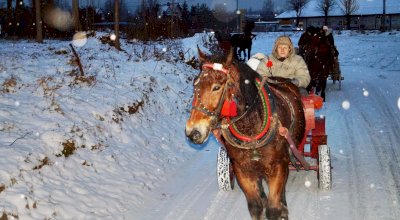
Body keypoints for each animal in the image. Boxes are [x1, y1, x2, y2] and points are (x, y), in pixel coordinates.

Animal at [185, 48, 306, 220]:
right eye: (195, 84)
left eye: (216, 87)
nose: (193, 132)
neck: (250, 130)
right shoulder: (242, 170)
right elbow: (256, 206)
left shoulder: (278, 167)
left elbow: (273, 209)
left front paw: (281, 210)